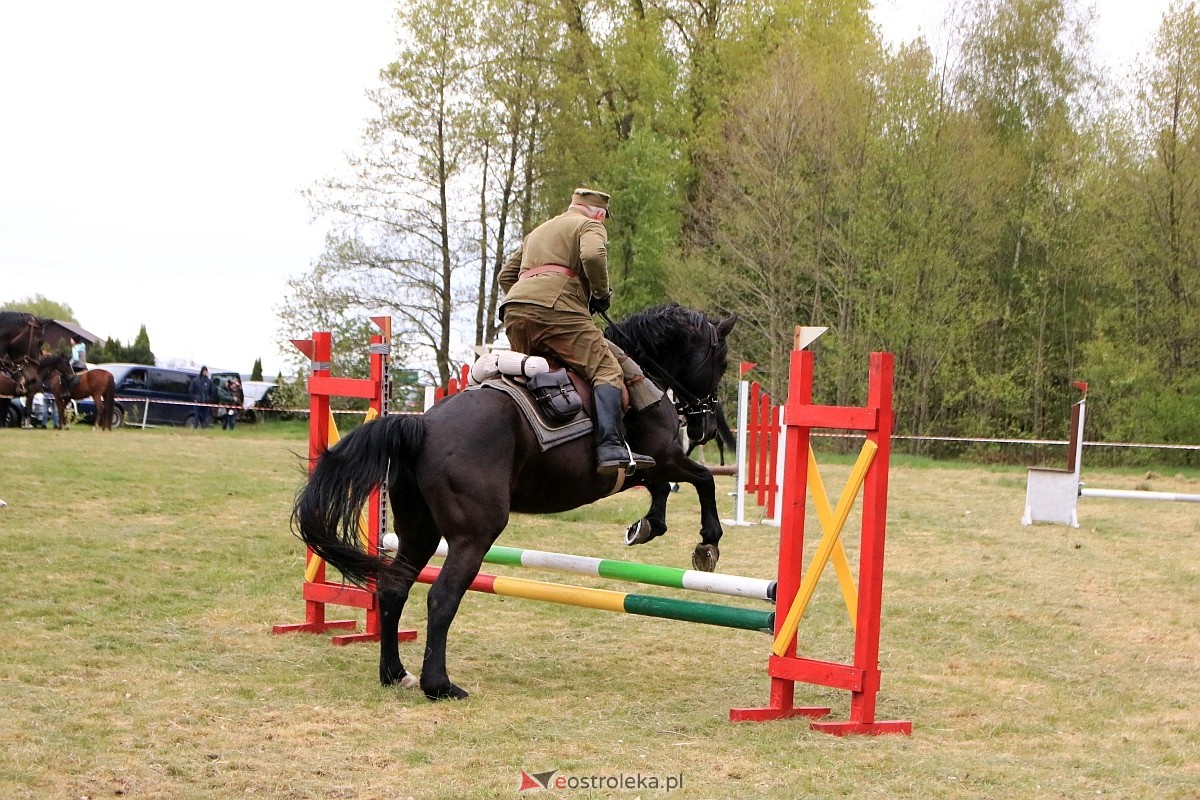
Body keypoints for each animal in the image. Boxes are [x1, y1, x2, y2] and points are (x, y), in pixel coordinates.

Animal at [295, 303, 734, 705]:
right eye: (722, 361)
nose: (707, 427)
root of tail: (422, 424)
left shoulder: (646, 467)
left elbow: (663, 491)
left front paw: (645, 526)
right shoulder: (663, 457)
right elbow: (704, 479)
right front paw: (707, 544)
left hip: (418, 532)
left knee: (393, 588)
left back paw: (394, 673)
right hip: (474, 535)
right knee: (442, 597)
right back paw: (439, 685)